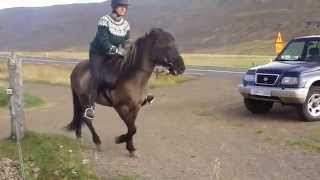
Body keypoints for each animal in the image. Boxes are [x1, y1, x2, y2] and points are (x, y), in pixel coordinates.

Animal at [67, 27, 185, 156]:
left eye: (174, 43)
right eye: (162, 45)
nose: (181, 67)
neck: (131, 77)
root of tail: (76, 68)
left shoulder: (136, 107)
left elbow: (131, 127)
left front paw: (131, 148)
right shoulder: (120, 107)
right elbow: (133, 128)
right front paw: (120, 139)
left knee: (81, 117)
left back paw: (79, 136)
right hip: (84, 100)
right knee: (87, 119)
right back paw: (97, 142)